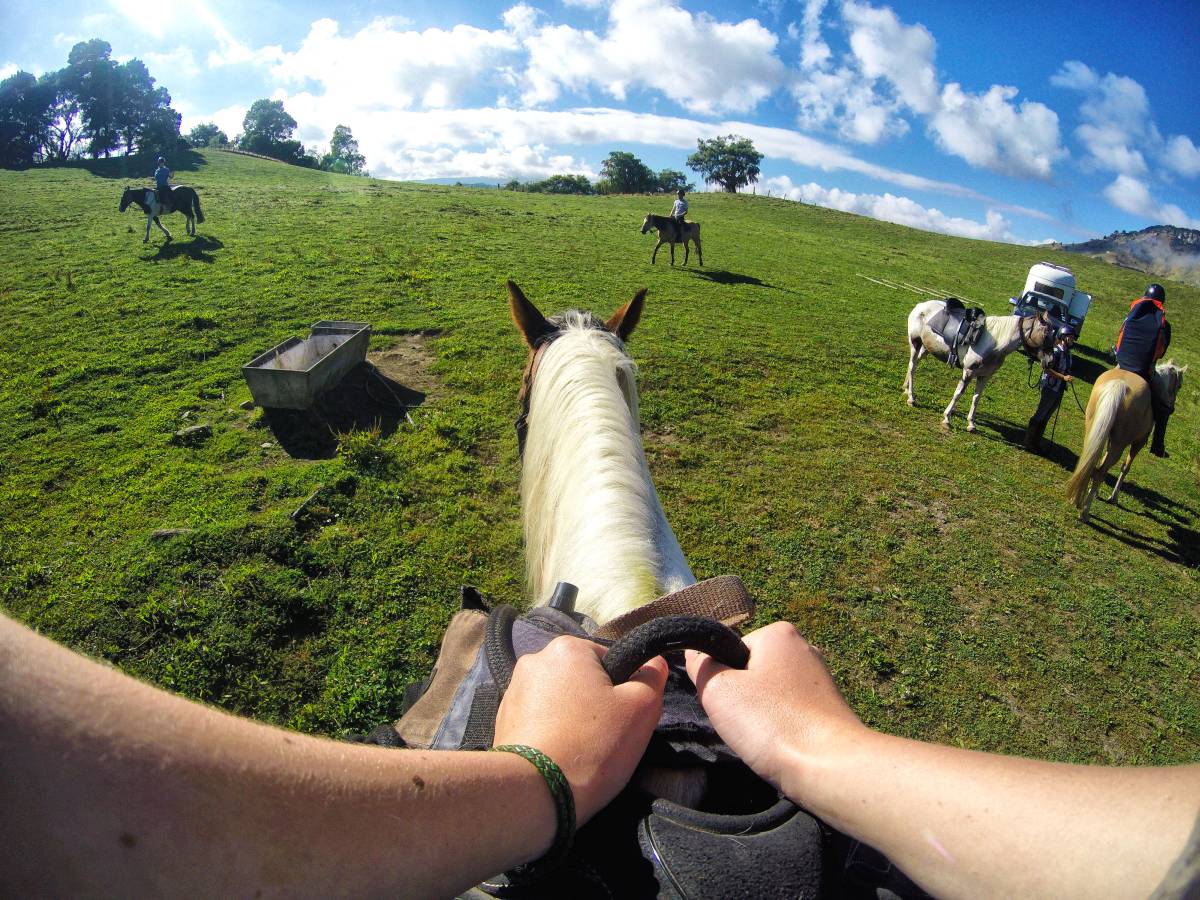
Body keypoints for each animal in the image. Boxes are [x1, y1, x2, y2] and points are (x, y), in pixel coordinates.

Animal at [904, 299, 1055, 431]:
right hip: (915, 343)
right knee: (912, 367)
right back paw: (911, 397)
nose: (1051, 361)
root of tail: (921, 305)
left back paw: (905, 387)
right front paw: (947, 418)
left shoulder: (985, 376)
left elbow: (977, 398)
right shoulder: (968, 372)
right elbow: (958, 393)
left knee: (915, 364)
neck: (994, 344)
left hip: (926, 348)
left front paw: (971, 424)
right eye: (1046, 334)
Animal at [1066, 360, 1186, 522]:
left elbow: (1103, 460)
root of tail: (1119, 385)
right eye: (1179, 386)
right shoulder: (1138, 442)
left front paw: (1094, 491)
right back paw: (1085, 512)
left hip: (1093, 429)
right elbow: (1125, 468)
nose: (1171, 407)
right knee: (1099, 471)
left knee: (1090, 464)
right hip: (1120, 444)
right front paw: (1113, 497)